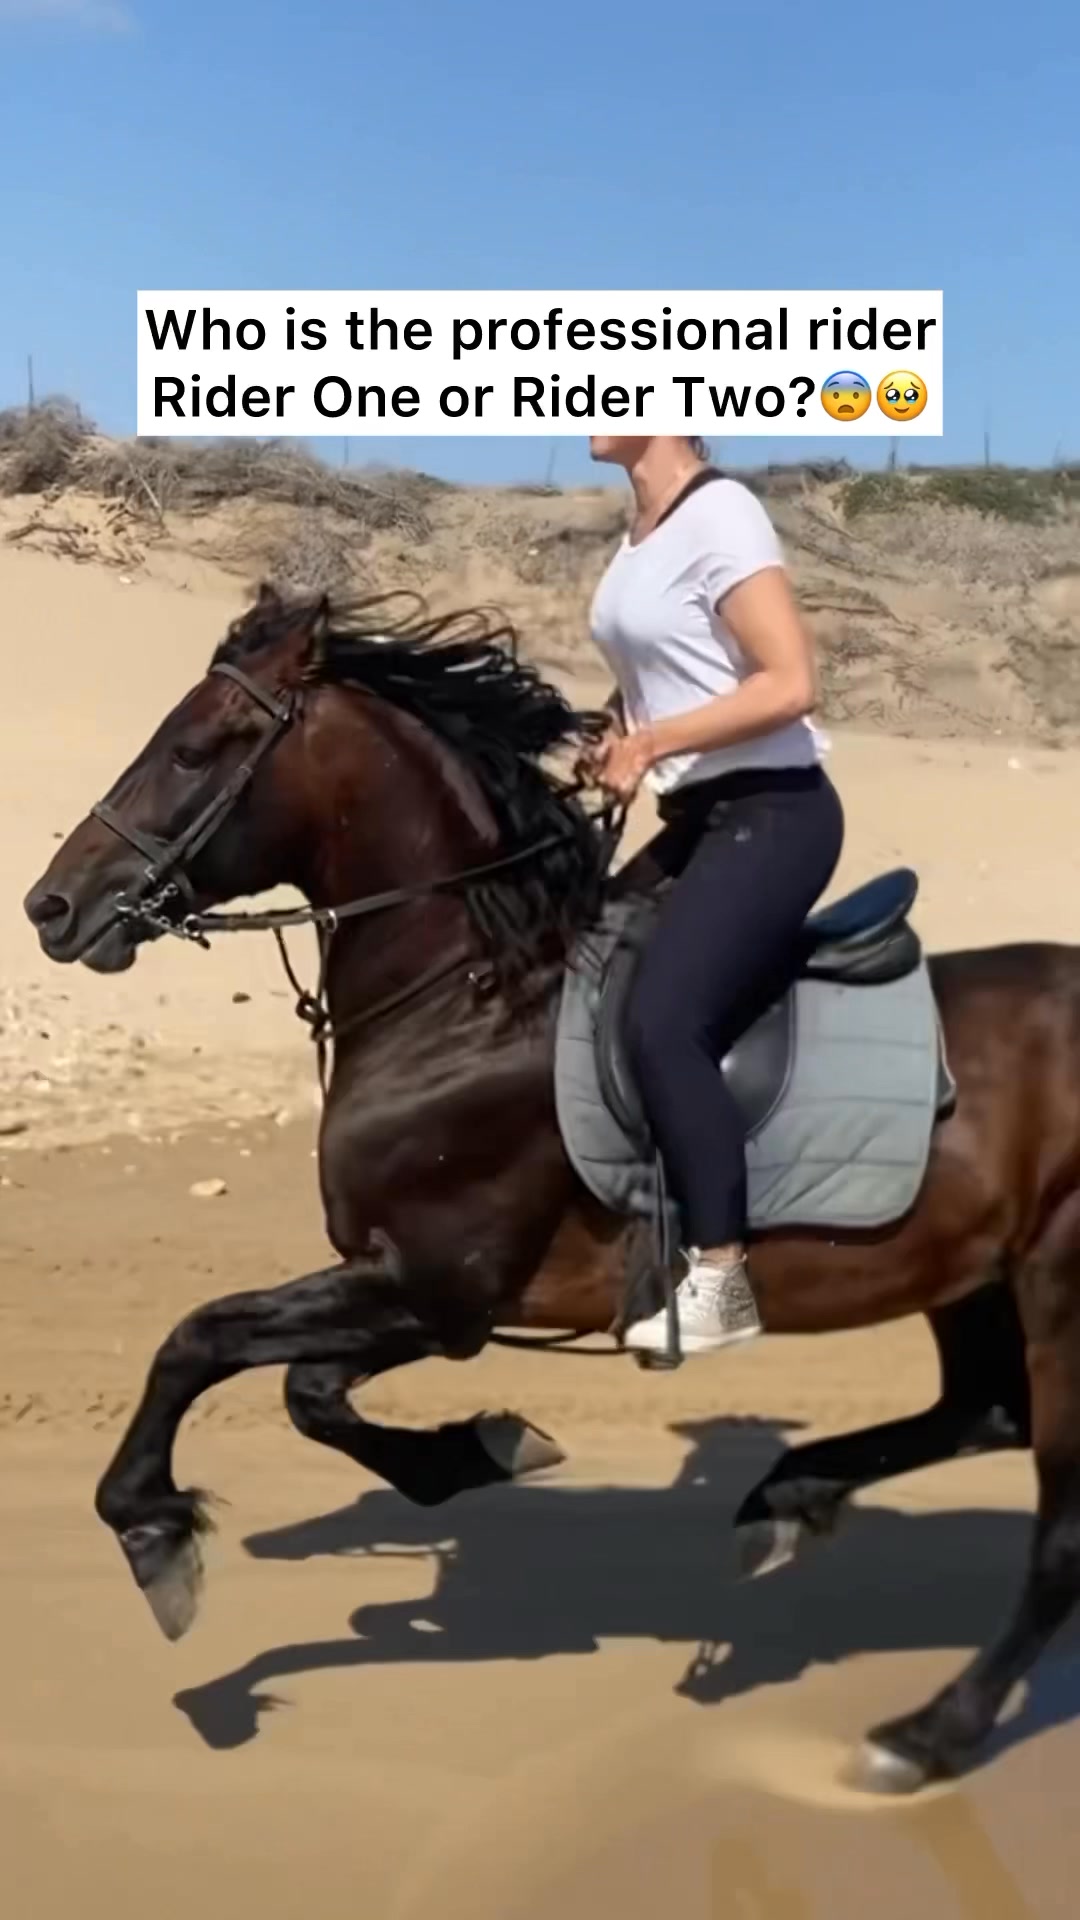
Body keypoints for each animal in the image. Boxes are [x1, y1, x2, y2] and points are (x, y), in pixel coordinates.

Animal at [22, 583, 1080, 1796]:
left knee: (1056, 1533)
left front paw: (153, 1534)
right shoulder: (429, 1295)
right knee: (982, 1410)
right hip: (973, 1275)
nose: (52, 907)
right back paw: (789, 1501)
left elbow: (199, 1340)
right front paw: (480, 1449)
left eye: (193, 749)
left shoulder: (437, 1285)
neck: (471, 999)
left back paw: (928, 1731)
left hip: (1057, 1285)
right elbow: (308, 1392)